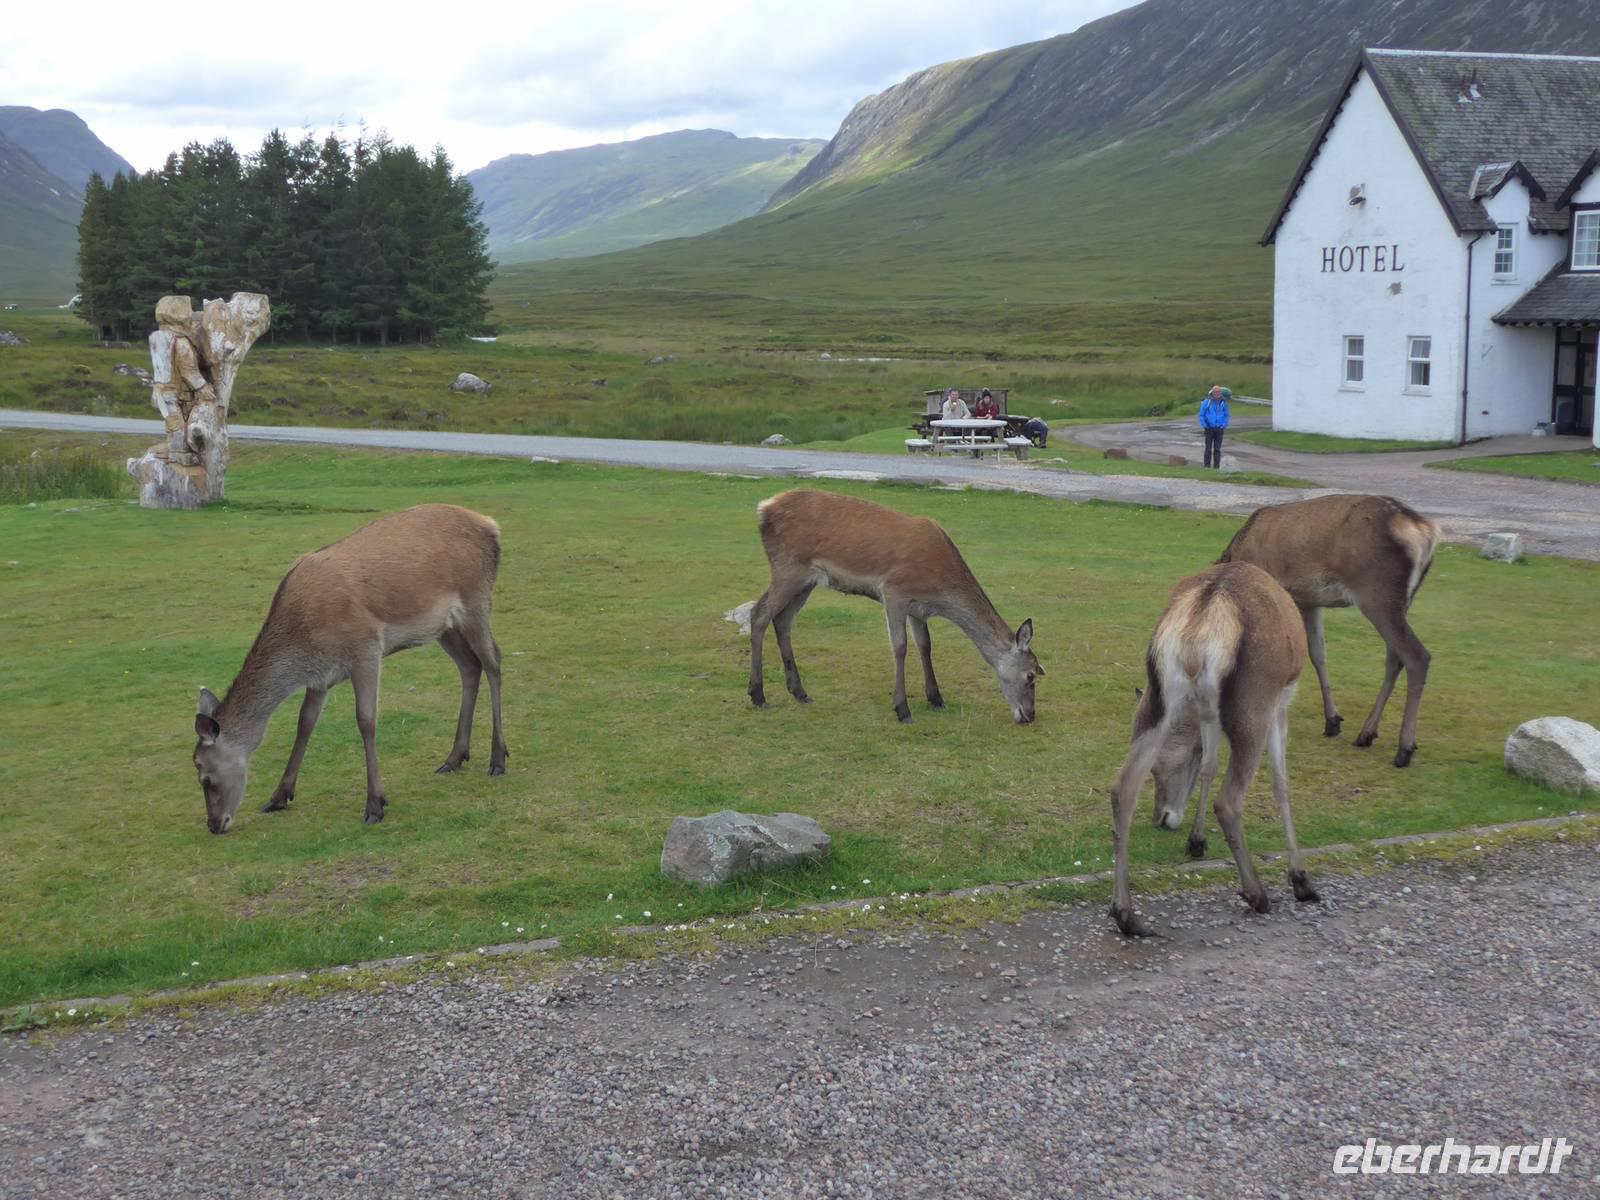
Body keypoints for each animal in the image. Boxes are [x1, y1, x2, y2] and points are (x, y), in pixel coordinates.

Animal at [193, 504, 508, 833]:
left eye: (205, 777)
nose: (214, 824)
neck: (303, 641)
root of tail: (490, 525)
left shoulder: (365, 649)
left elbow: (366, 720)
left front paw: (375, 804)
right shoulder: (321, 677)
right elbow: (305, 723)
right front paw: (279, 796)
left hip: (476, 600)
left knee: (493, 660)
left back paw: (498, 759)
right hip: (444, 626)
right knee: (470, 666)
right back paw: (455, 757)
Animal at [747, 489, 1042, 724]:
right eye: (1031, 675)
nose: (1029, 715)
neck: (940, 586)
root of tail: (764, 507)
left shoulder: (918, 608)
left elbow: (925, 645)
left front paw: (936, 698)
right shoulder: (894, 591)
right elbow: (900, 646)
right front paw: (902, 709)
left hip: (807, 580)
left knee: (782, 620)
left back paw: (799, 692)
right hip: (788, 568)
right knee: (759, 614)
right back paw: (758, 694)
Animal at [1109, 561, 1318, 937]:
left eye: (1167, 768)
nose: (1163, 818)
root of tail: (1202, 619)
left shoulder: (1208, 715)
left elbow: (1209, 764)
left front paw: (1197, 840)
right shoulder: (1282, 703)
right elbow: (1281, 783)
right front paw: (1300, 877)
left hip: (1156, 700)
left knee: (1122, 788)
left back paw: (1126, 913)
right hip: (1254, 705)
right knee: (1230, 800)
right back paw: (1258, 894)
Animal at [1216, 493, 1438, 771]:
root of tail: (1424, 531)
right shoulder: (1310, 602)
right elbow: (1318, 654)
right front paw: (1332, 720)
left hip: (1376, 592)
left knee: (1417, 656)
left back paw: (1404, 748)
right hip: (1403, 599)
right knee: (1395, 658)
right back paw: (1367, 733)